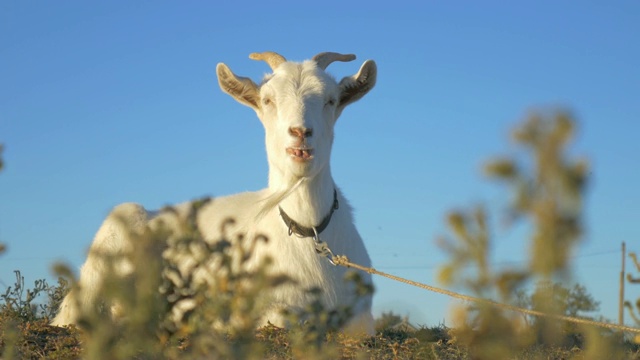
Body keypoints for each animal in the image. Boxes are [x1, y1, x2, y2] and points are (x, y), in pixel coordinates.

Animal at [53, 51, 380, 334]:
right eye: (268, 100)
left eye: (331, 100)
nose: (300, 134)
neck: (309, 231)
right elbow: (277, 317)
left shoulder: (361, 316)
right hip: (115, 232)